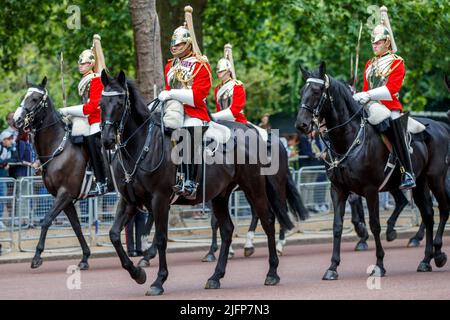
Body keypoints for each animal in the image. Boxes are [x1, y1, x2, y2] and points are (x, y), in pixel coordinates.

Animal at [13, 77, 94, 270]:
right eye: (24, 96)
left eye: (35, 99)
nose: (16, 119)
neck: (58, 148)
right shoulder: (66, 197)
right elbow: (76, 226)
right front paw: (85, 257)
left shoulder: (65, 194)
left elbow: (46, 220)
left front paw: (37, 256)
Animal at [100, 71, 308, 296]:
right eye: (101, 103)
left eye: (120, 102)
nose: (106, 140)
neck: (142, 146)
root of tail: (255, 133)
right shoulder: (129, 201)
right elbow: (113, 235)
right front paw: (137, 273)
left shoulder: (160, 200)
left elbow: (162, 238)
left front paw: (158, 281)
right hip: (221, 195)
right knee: (227, 228)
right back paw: (215, 276)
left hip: (254, 187)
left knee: (268, 220)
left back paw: (271, 271)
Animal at [296, 63, 450, 280]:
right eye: (302, 91)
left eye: (317, 91)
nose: (301, 125)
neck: (348, 140)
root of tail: (441, 126)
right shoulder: (338, 190)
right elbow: (337, 226)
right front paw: (332, 267)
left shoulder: (370, 190)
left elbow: (375, 225)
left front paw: (379, 265)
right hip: (420, 184)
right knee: (428, 215)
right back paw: (426, 259)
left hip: (435, 178)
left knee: (443, 209)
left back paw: (438, 254)